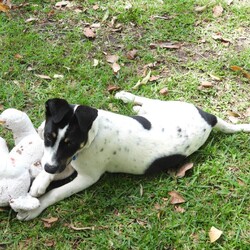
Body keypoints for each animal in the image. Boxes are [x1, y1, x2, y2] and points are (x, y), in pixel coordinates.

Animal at [16, 91, 249, 220]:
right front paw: (40, 183)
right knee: (147, 102)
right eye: (49, 137)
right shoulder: (63, 161)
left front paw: (35, 206)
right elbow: (50, 168)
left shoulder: (86, 177)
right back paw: (128, 98)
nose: (50, 168)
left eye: (70, 143)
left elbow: (57, 192)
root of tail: (209, 118)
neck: (94, 133)